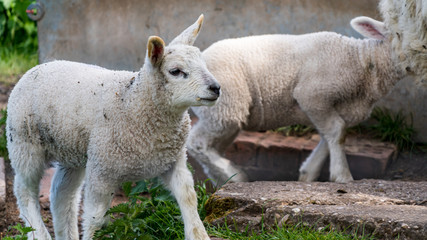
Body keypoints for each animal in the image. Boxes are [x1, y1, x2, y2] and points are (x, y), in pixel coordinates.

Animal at [7, 15, 219, 240]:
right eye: (176, 71)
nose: (216, 88)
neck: (133, 99)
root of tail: (38, 67)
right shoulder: (102, 170)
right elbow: (95, 218)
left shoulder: (173, 161)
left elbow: (188, 196)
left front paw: (198, 234)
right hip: (24, 143)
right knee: (24, 191)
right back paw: (38, 232)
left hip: (73, 150)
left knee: (62, 194)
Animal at [188, 0, 427, 184]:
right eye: (400, 34)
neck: (363, 61)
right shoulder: (313, 95)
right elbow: (337, 132)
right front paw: (342, 176)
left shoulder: (333, 107)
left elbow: (330, 135)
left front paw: (308, 173)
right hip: (224, 108)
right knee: (196, 144)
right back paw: (236, 176)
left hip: (226, 115)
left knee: (211, 148)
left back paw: (224, 180)